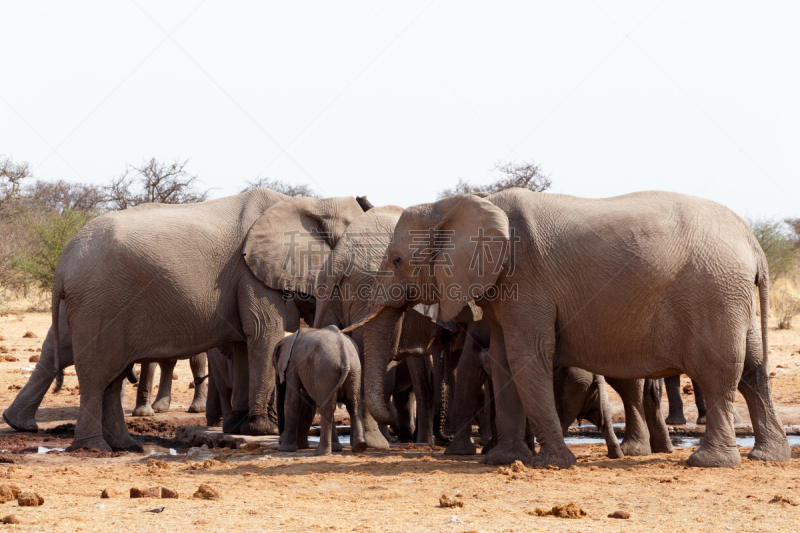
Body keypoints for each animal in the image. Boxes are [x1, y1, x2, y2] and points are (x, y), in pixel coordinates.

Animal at [272, 326, 366, 456]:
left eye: (274, 364)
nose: (279, 440)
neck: (290, 336)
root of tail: (345, 355)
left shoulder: (293, 363)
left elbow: (293, 399)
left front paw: (285, 449)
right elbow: (307, 400)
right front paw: (301, 447)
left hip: (325, 371)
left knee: (327, 408)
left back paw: (321, 452)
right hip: (354, 371)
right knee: (353, 405)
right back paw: (359, 446)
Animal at [360, 190, 788, 466]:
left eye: (396, 260)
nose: (393, 422)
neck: (462, 204)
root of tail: (754, 244)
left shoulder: (526, 280)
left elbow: (527, 355)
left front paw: (553, 463)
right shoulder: (504, 289)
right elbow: (503, 359)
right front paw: (504, 460)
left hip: (713, 293)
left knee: (718, 371)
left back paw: (708, 462)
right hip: (731, 296)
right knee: (752, 369)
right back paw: (768, 456)